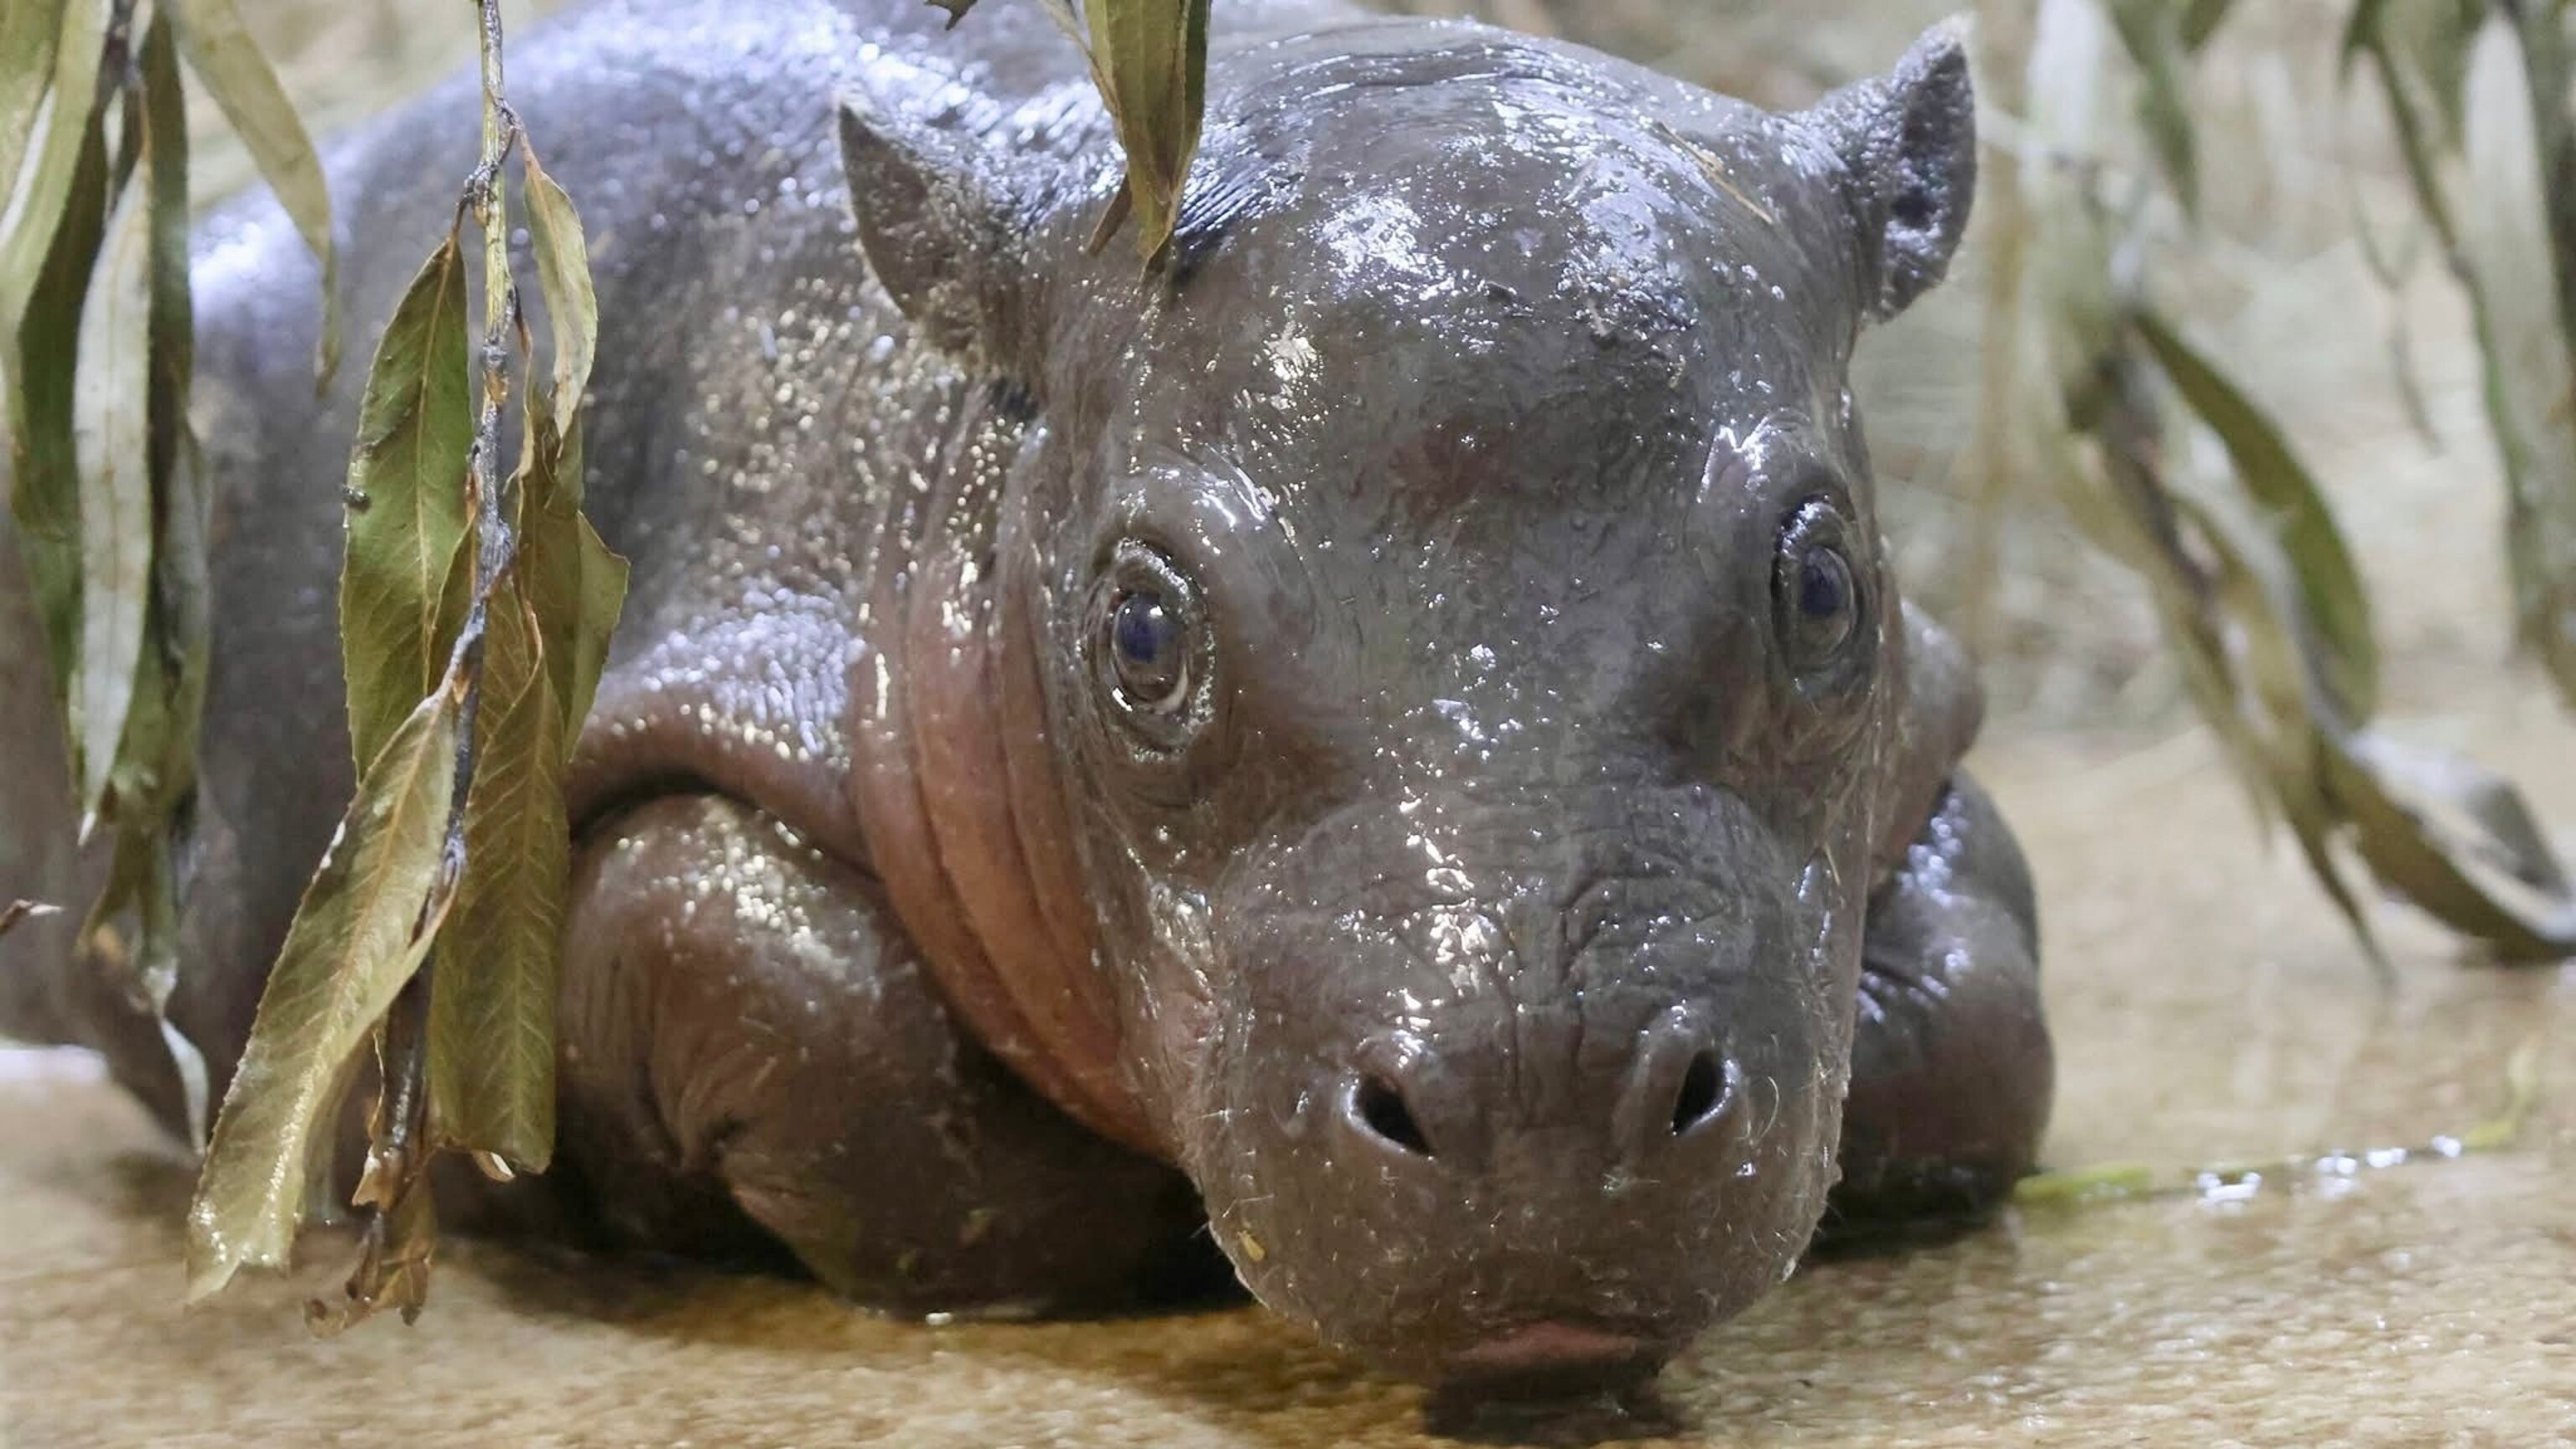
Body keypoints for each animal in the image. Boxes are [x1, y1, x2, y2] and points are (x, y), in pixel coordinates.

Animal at [0, 0, 2053, 1394]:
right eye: (1137, 632)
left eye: (1822, 579)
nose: (1542, 1107)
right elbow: (750, 961)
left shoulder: (1927, 735)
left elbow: (1985, 1005)